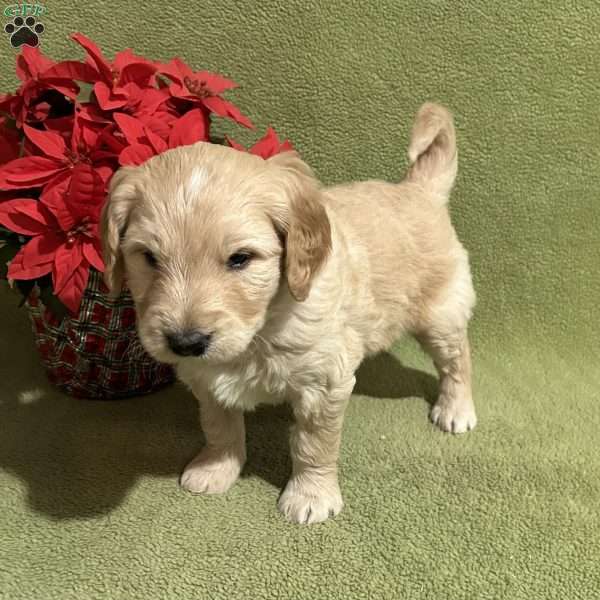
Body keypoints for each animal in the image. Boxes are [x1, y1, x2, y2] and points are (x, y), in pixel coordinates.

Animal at [103, 104, 478, 524]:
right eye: (149, 258)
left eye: (240, 259)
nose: (186, 342)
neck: (262, 326)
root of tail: (418, 189)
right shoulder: (205, 378)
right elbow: (218, 425)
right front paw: (216, 468)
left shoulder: (324, 383)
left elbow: (314, 444)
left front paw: (311, 495)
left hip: (440, 314)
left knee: (457, 359)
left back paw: (456, 408)